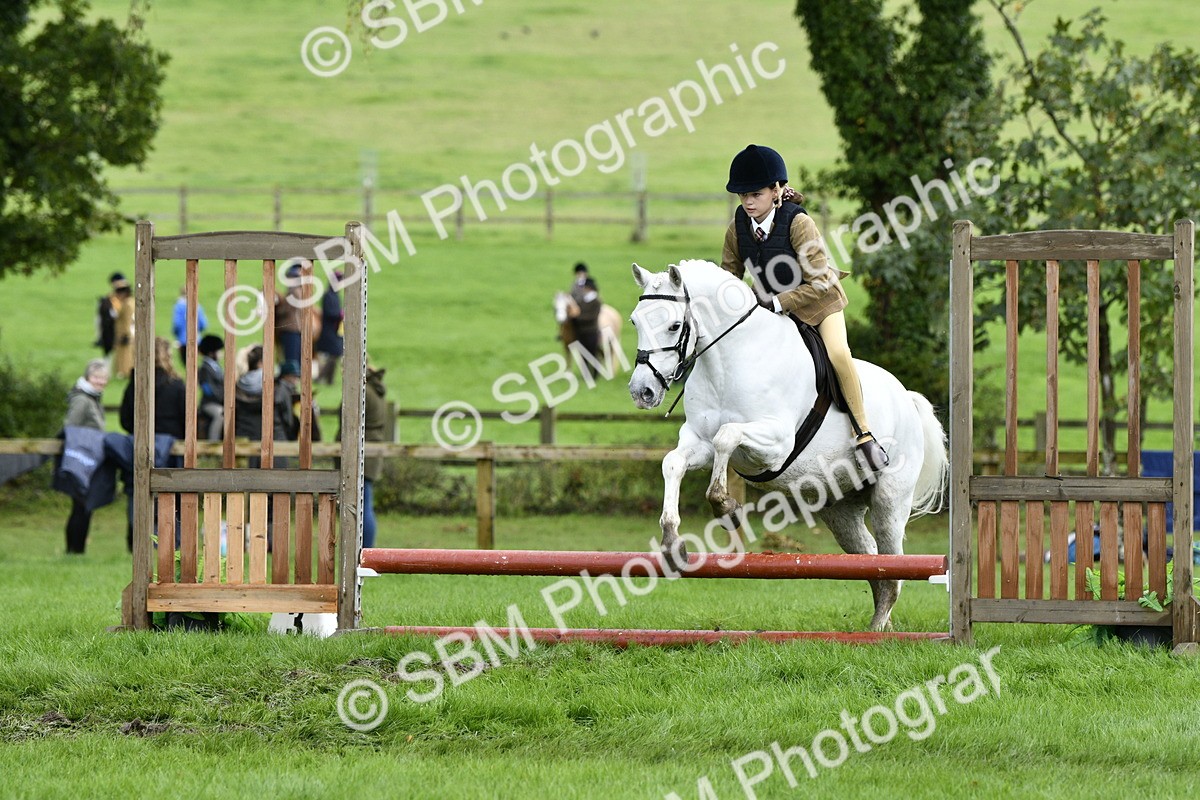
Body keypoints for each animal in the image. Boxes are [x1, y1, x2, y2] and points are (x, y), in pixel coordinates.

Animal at [628, 260, 948, 631]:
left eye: (674, 325)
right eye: (635, 321)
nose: (642, 392)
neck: (727, 360)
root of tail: (907, 398)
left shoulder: (776, 443)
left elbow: (727, 436)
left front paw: (725, 506)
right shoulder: (699, 442)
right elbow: (674, 462)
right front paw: (671, 542)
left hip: (890, 498)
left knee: (892, 562)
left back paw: (879, 628)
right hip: (840, 508)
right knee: (870, 558)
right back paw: (880, 626)